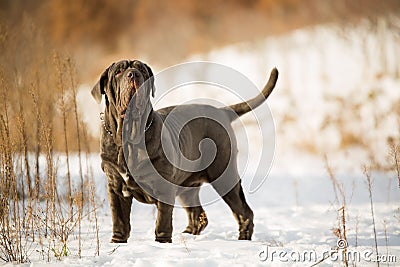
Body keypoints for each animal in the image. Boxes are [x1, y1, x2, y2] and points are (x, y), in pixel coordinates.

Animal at [91, 59, 278, 244]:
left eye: (142, 70)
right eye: (118, 72)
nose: (133, 74)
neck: (129, 138)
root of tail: (222, 111)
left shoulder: (164, 188)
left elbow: (162, 220)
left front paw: (162, 243)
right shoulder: (115, 187)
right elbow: (119, 220)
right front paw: (117, 242)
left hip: (224, 176)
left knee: (243, 212)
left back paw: (242, 239)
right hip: (188, 187)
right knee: (198, 215)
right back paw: (187, 235)